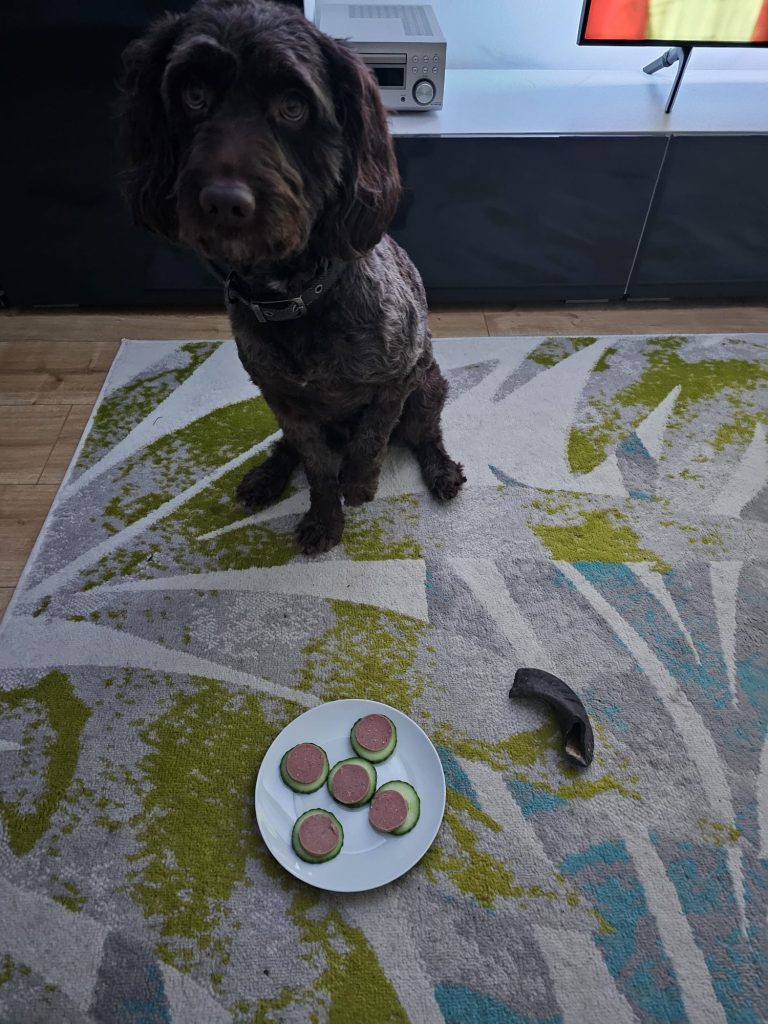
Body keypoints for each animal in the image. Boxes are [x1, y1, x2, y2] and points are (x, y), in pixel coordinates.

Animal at [118, 0, 466, 552]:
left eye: (294, 106)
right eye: (193, 96)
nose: (224, 202)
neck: (292, 295)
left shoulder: (400, 375)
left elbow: (372, 436)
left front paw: (359, 483)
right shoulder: (284, 399)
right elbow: (316, 465)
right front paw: (325, 517)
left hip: (429, 388)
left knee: (423, 433)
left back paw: (441, 470)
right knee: (290, 448)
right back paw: (266, 475)